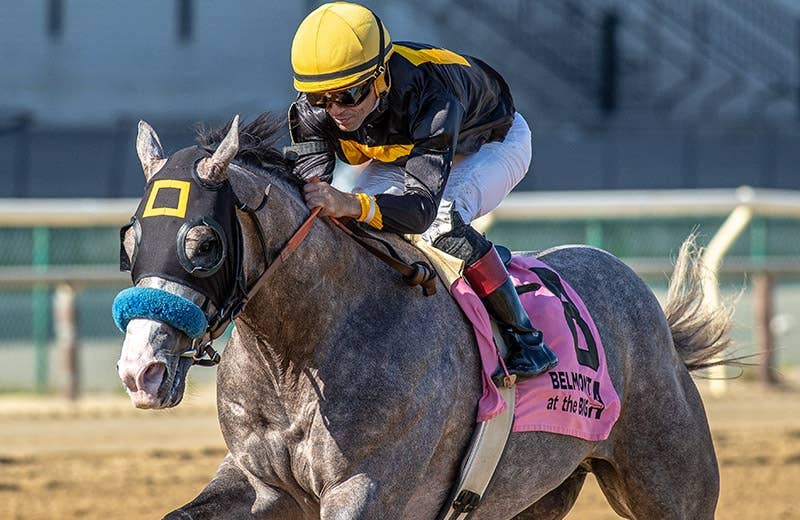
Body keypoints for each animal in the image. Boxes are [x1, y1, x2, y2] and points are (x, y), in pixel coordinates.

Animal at [115, 113, 733, 519]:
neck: (296, 353)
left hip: (670, 482)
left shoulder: (370, 488)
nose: (140, 371)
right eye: (130, 241)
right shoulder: (258, 481)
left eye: (202, 244)